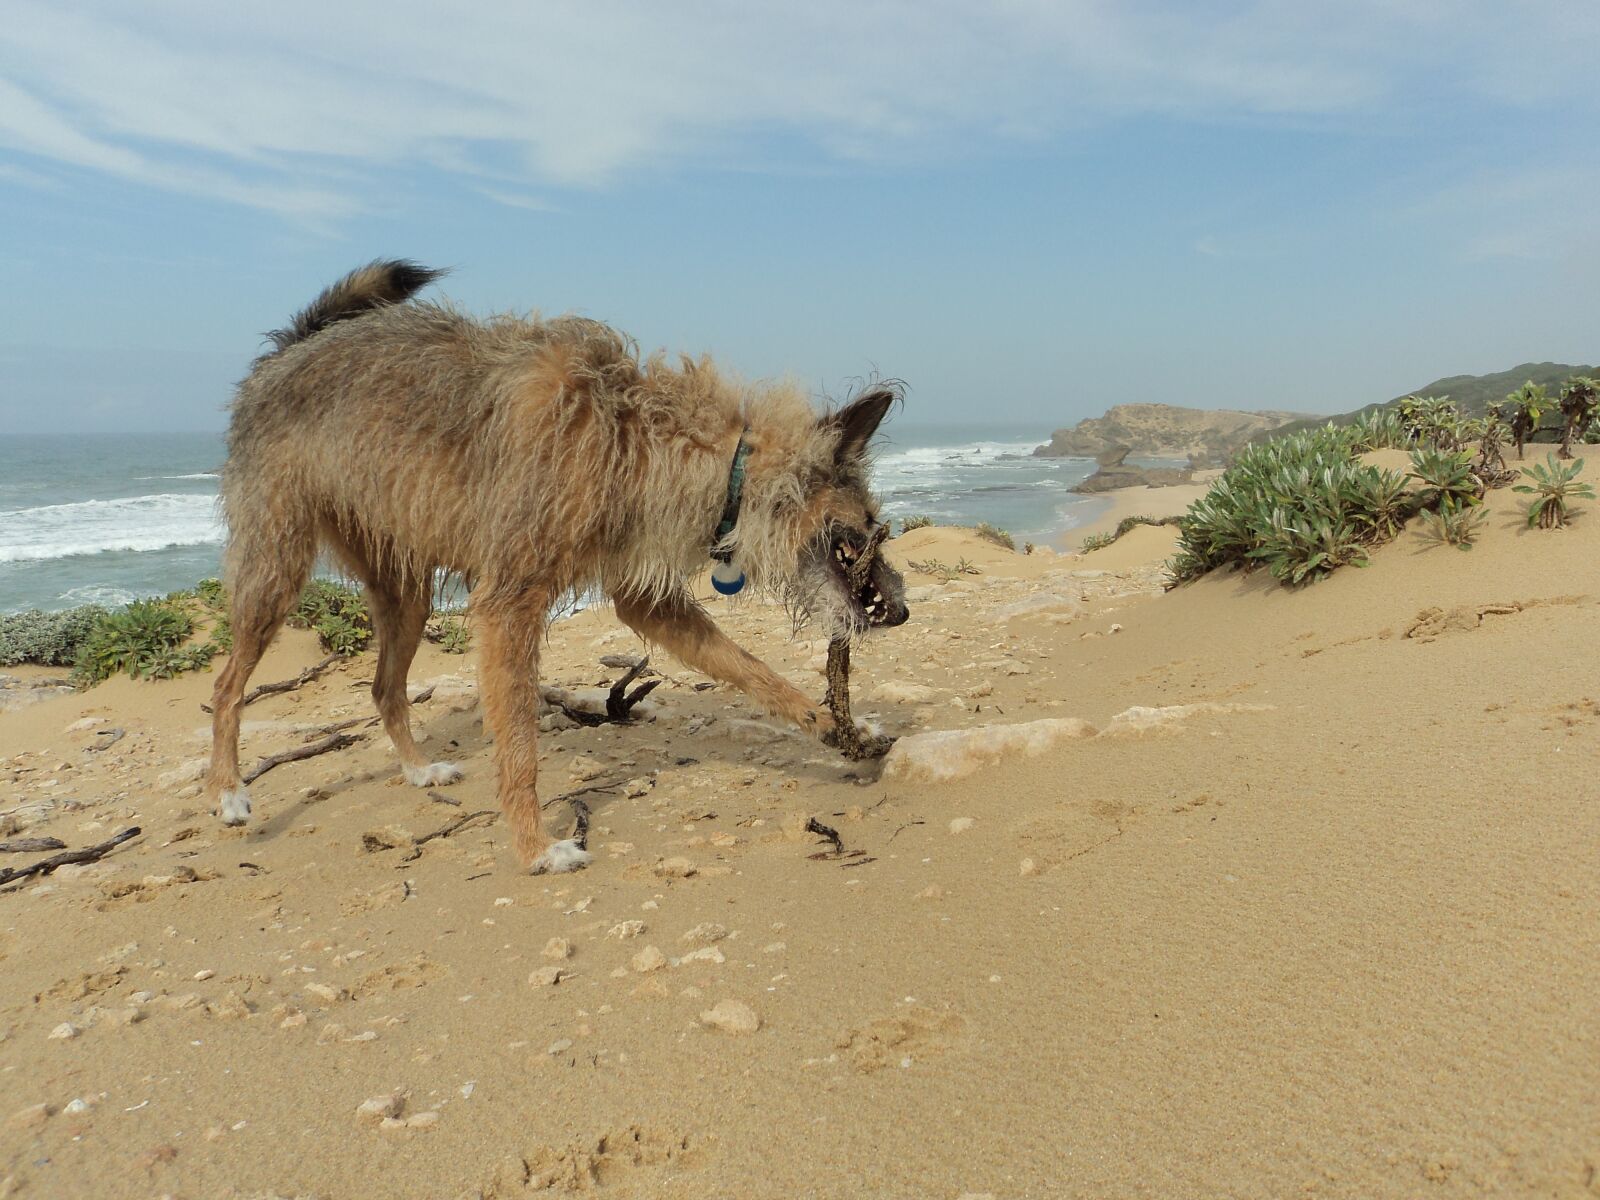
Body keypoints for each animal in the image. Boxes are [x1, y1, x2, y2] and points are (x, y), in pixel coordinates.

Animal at [204, 262, 908, 876]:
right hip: (276, 568)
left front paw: (835, 726)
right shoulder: (508, 605)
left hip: (403, 591)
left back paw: (417, 770)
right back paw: (230, 792)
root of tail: (286, 354)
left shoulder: (644, 601)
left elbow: (752, 669)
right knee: (226, 685)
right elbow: (519, 746)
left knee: (382, 687)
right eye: (869, 525)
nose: (901, 610)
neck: (638, 437)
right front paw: (535, 847)